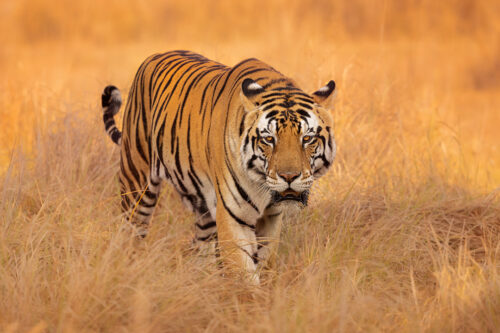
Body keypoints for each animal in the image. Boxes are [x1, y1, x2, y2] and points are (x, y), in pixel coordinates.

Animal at [101, 50, 336, 282]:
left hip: (204, 213)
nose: (289, 177)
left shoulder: (271, 220)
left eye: (307, 138)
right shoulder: (235, 219)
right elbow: (244, 276)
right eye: (269, 139)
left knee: (198, 250)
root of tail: (153, 56)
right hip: (137, 183)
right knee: (131, 233)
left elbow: (264, 265)